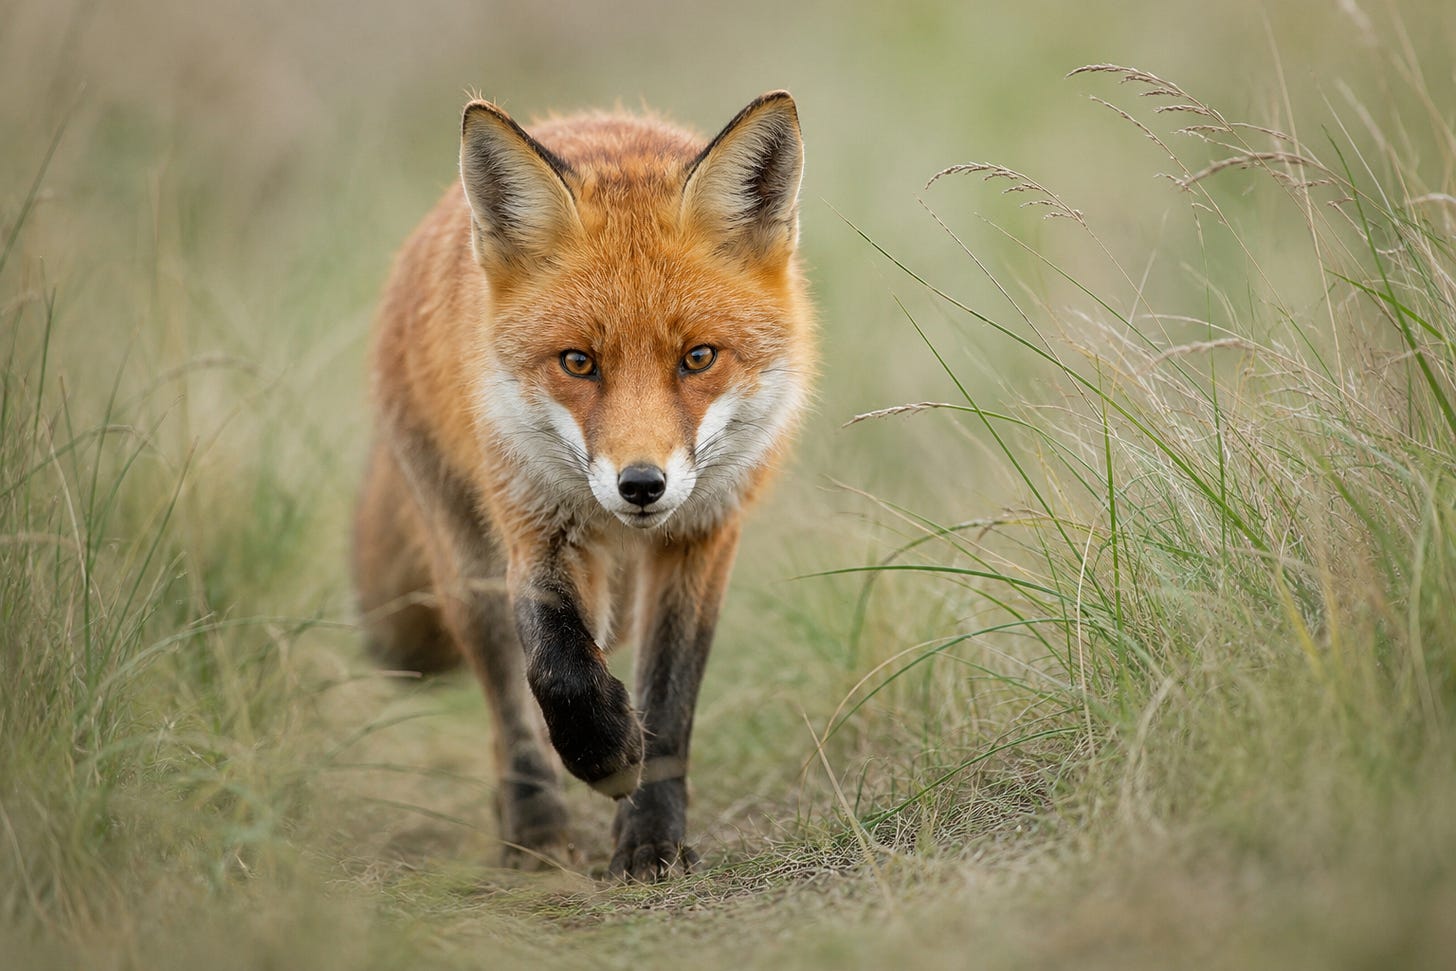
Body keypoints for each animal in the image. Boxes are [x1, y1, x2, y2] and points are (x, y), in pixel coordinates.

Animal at [352, 91, 814, 880]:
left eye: (698, 357)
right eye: (578, 362)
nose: (641, 485)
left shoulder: (703, 538)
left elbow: (669, 698)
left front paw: (651, 836)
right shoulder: (533, 526)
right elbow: (556, 667)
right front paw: (604, 756)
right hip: (466, 569)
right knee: (509, 707)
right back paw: (533, 826)